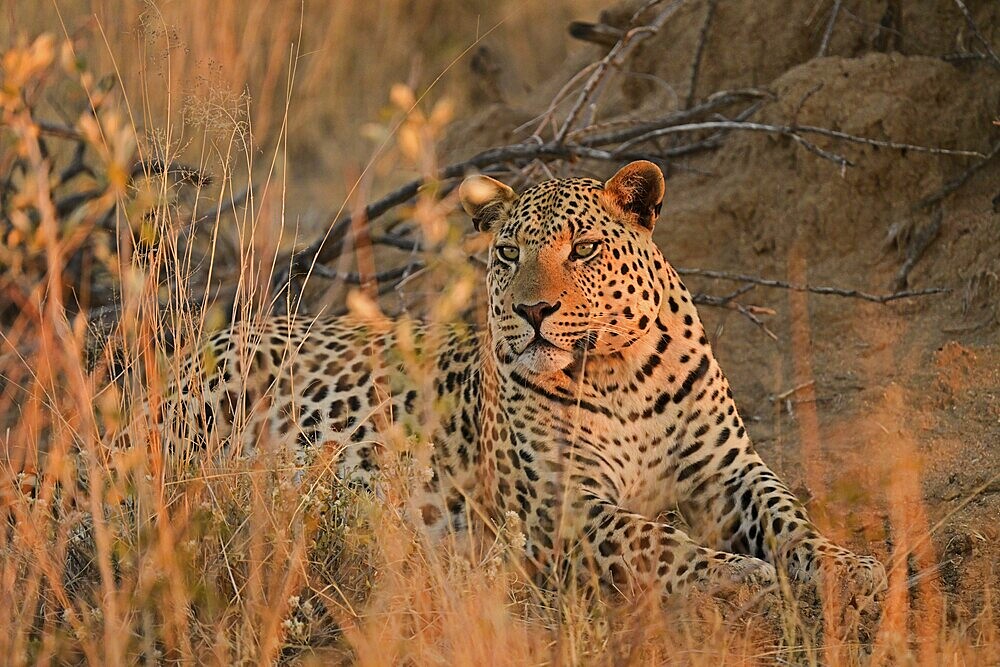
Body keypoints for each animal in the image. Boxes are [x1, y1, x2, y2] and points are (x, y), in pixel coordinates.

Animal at [156, 160, 884, 604]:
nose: (533, 311)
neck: (622, 377)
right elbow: (656, 541)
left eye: (584, 249)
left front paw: (850, 567)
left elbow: (788, 514)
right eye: (508, 253)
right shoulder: (566, 505)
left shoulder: (729, 471)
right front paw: (739, 576)